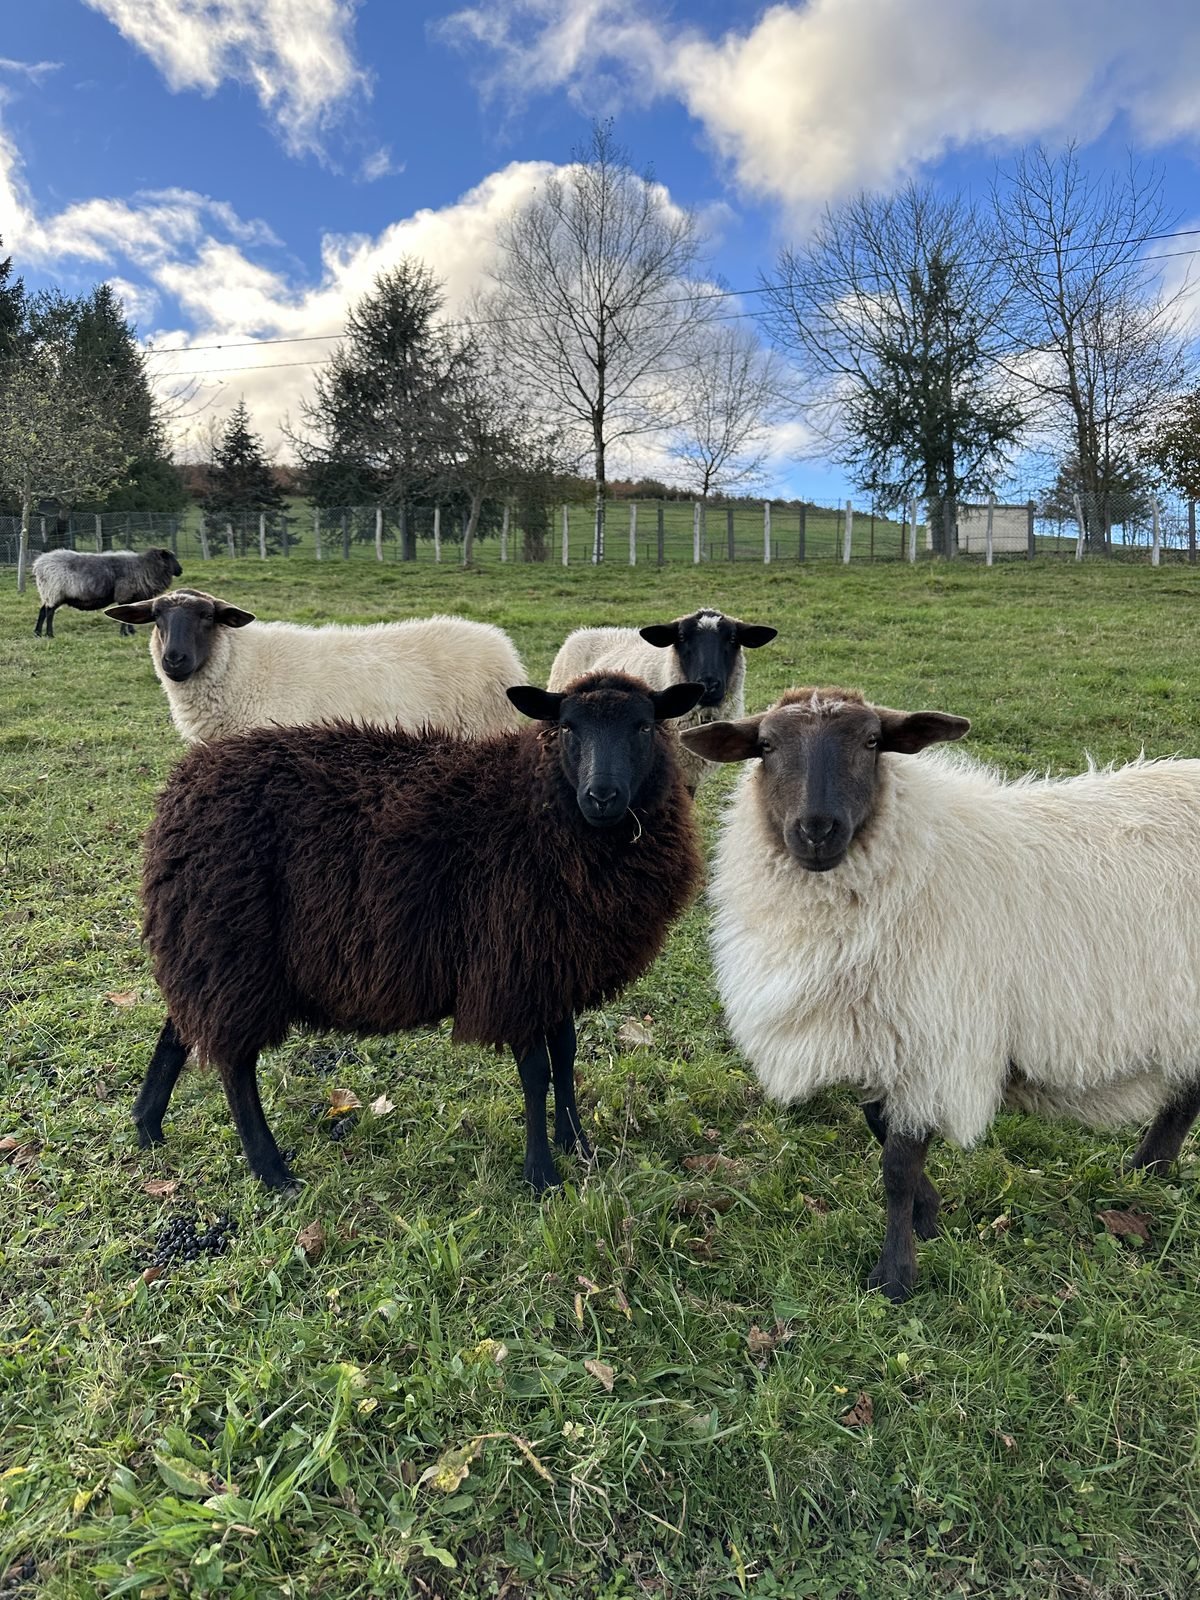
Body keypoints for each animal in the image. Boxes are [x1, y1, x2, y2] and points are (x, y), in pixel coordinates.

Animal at [34, 547, 182, 638]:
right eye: (170, 558)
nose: (180, 571)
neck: (145, 567)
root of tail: (39, 564)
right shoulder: (124, 594)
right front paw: (124, 633)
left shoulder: (131, 597)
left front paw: (131, 631)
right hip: (54, 592)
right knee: (50, 613)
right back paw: (49, 634)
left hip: (47, 593)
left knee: (42, 611)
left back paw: (38, 633)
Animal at [131, 670, 706, 1193]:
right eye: (567, 727)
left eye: (644, 726)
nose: (601, 796)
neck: (534, 804)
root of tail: (181, 786)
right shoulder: (512, 963)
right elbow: (536, 1073)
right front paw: (541, 1175)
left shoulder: (555, 962)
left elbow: (565, 1057)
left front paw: (576, 1144)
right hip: (231, 944)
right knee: (233, 1061)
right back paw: (271, 1171)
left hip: (204, 944)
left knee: (182, 1028)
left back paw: (147, 1126)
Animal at [682, 686, 1200, 1303]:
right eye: (765, 745)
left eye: (872, 741)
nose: (817, 829)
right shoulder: (885, 1036)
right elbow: (881, 1131)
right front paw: (929, 1216)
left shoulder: (932, 1040)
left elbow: (897, 1167)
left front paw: (896, 1274)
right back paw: (1147, 1173)